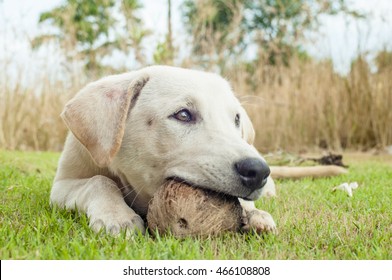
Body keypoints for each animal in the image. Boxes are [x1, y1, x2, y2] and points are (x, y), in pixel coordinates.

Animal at [49, 65, 346, 234]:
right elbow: (99, 181)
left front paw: (254, 213)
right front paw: (117, 216)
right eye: (183, 114)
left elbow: (246, 203)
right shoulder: (62, 186)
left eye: (236, 119)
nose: (259, 171)